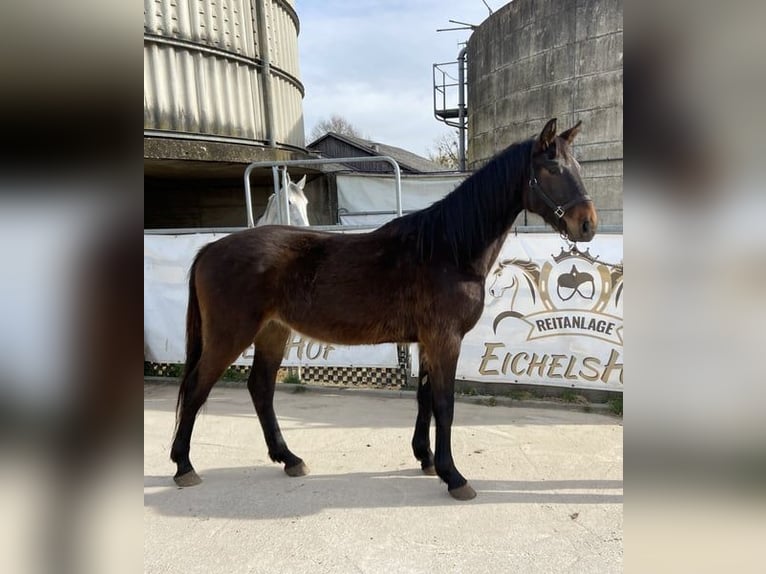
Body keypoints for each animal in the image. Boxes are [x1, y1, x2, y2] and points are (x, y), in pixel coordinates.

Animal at [171, 118, 597, 500]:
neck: (448, 248)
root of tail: (211, 248)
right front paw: (454, 477)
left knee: (260, 388)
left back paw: (289, 458)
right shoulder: (445, 339)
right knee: (196, 388)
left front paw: (426, 459)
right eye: (553, 168)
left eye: (578, 167)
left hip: (273, 332)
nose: (588, 224)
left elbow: (425, 398)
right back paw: (184, 466)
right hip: (230, 335)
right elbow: (445, 404)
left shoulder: (427, 341)